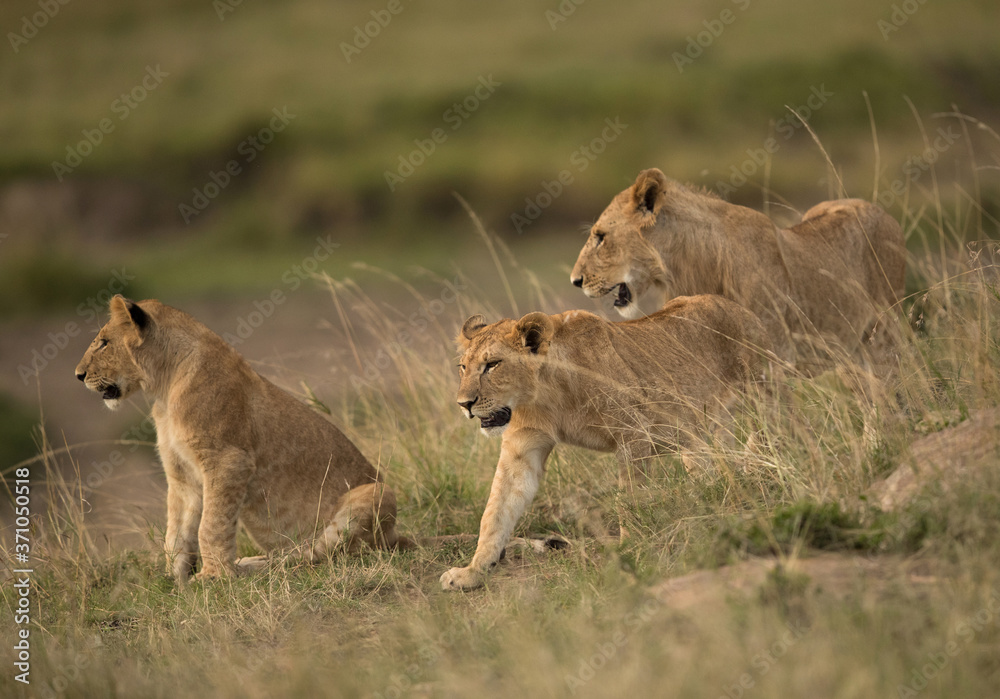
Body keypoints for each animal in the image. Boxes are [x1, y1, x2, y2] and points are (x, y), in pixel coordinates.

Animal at [75, 295, 406, 581]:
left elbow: (210, 526)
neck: (165, 390)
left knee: (318, 555)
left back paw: (252, 568)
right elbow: (177, 530)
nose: (78, 375)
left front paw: (213, 577)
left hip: (379, 493)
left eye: (103, 343)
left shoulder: (228, 461)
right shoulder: (181, 474)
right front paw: (173, 580)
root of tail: (396, 536)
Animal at [440, 295, 770, 590]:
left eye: (493, 365)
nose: (464, 404)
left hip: (760, 400)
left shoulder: (634, 432)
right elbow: (495, 513)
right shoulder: (522, 448)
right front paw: (472, 572)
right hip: (698, 437)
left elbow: (628, 499)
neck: (547, 395)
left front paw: (631, 549)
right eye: (463, 367)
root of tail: (743, 309)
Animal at [570, 168, 906, 370]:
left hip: (886, 333)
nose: (575, 280)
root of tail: (879, 209)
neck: (688, 266)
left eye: (600, 236)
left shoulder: (777, 356)